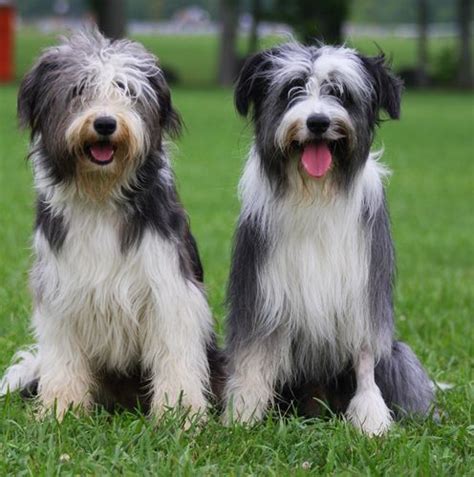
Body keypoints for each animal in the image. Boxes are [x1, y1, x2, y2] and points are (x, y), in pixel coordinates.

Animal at [0, 28, 219, 416]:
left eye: (127, 90)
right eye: (78, 90)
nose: (105, 123)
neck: (101, 194)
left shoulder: (169, 287)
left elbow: (175, 354)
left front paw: (180, 414)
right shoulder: (60, 291)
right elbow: (63, 358)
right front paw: (60, 410)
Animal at [224, 42, 436, 434]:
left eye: (340, 92)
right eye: (293, 88)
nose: (318, 122)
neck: (316, 192)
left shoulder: (363, 288)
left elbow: (364, 357)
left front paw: (371, 420)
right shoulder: (263, 292)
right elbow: (254, 357)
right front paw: (242, 417)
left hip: (399, 357)